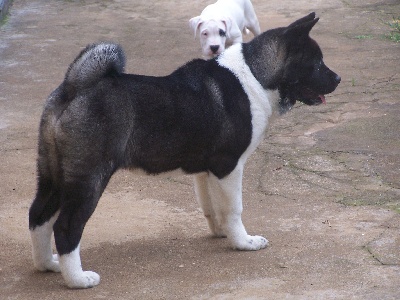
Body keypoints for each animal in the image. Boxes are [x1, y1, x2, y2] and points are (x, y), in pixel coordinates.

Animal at [28, 12, 340, 288]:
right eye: (316, 64)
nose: (337, 79)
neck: (255, 75)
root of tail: (75, 86)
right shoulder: (229, 166)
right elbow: (234, 208)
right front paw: (243, 242)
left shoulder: (207, 171)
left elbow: (213, 207)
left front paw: (222, 233)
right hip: (89, 179)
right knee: (65, 227)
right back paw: (77, 280)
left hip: (54, 176)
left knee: (38, 216)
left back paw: (48, 264)